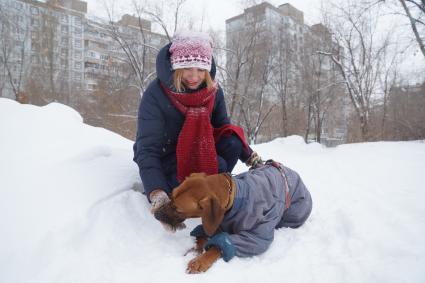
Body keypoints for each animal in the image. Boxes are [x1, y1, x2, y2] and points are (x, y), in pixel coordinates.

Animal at [153, 161, 312, 274]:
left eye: (177, 209)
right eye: (171, 196)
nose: (156, 214)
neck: (235, 198)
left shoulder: (255, 236)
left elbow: (219, 245)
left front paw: (201, 260)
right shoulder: (214, 223)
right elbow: (203, 236)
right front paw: (196, 248)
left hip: (294, 213)